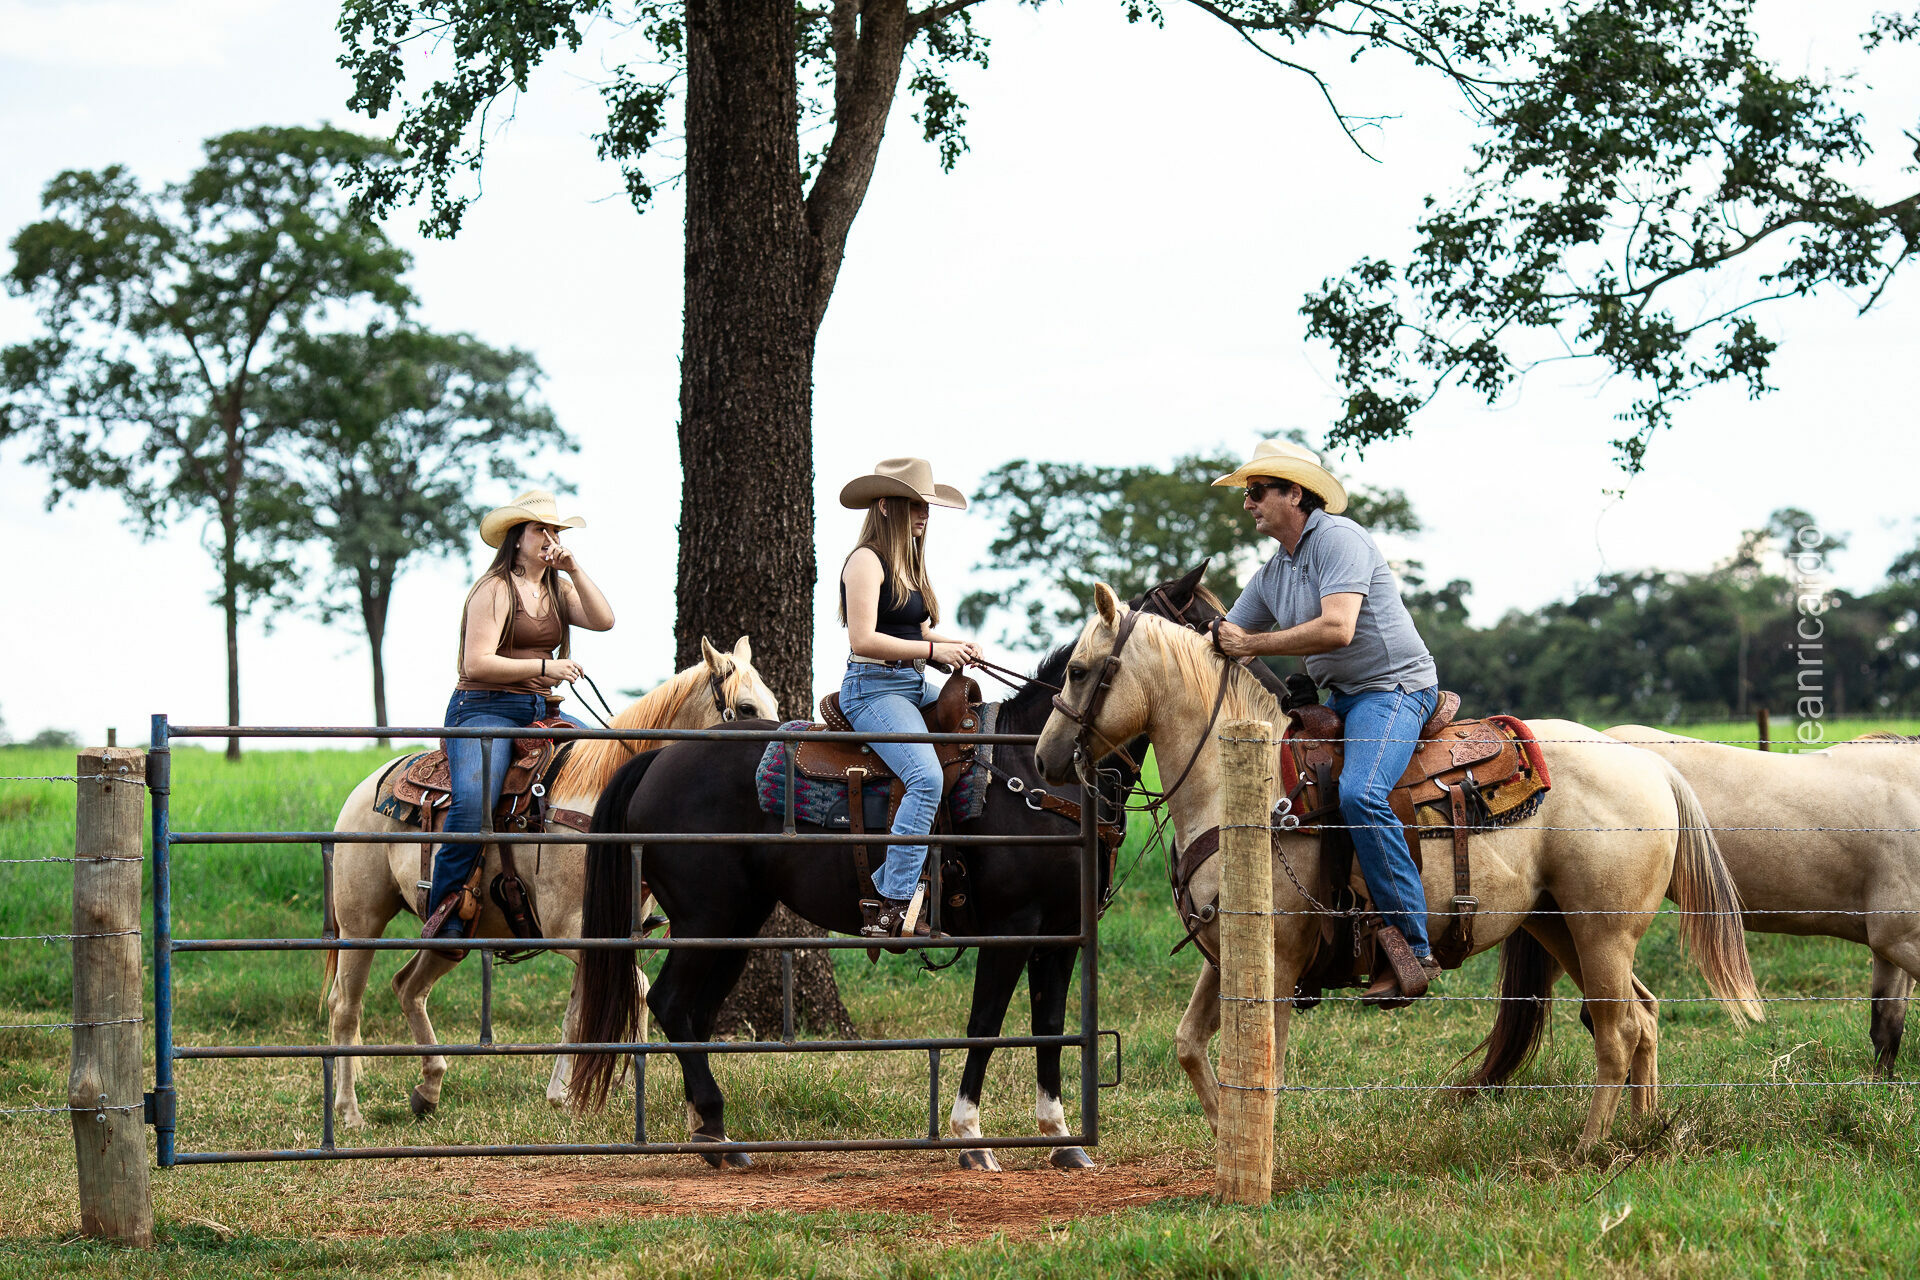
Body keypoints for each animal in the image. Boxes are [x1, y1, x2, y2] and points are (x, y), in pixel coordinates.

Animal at [321, 636, 778, 1128]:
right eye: (746, 708)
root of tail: (362, 791)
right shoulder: (571, 930)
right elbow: (634, 989)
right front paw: (618, 1081)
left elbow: (578, 1010)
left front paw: (563, 1094)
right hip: (361, 924)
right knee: (345, 1007)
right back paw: (349, 1113)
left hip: (451, 934)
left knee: (408, 988)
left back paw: (428, 1088)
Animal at [1033, 584, 1765, 1150]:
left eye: (1078, 669)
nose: (1044, 758)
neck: (1247, 788)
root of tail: (1652, 765)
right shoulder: (1226, 955)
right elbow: (1189, 1045)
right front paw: (1225, 1138)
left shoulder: (1277, 963)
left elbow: (1265, 1067)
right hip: (1560, 925)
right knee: (1643, 1015)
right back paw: (1640, 1130)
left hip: (1602, 930)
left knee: (1618, 1029)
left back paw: (1589, 1147)